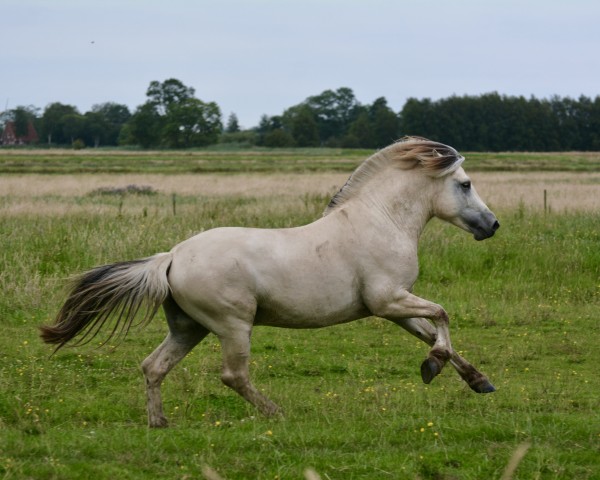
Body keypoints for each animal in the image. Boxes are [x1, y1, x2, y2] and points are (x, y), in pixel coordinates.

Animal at [39, 136, 502, 428]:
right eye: (465, 184)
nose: (492, 225)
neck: (381, 220)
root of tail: (171, 257)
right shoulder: (389, 301)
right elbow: (442, 316)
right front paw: (432, 367)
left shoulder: (393, 308)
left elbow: (434, 333)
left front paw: (477, 381)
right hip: (232, 325)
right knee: (232, 375)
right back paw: (276, 413)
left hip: (189, 328)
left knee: (154, 366)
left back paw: (159, 423)